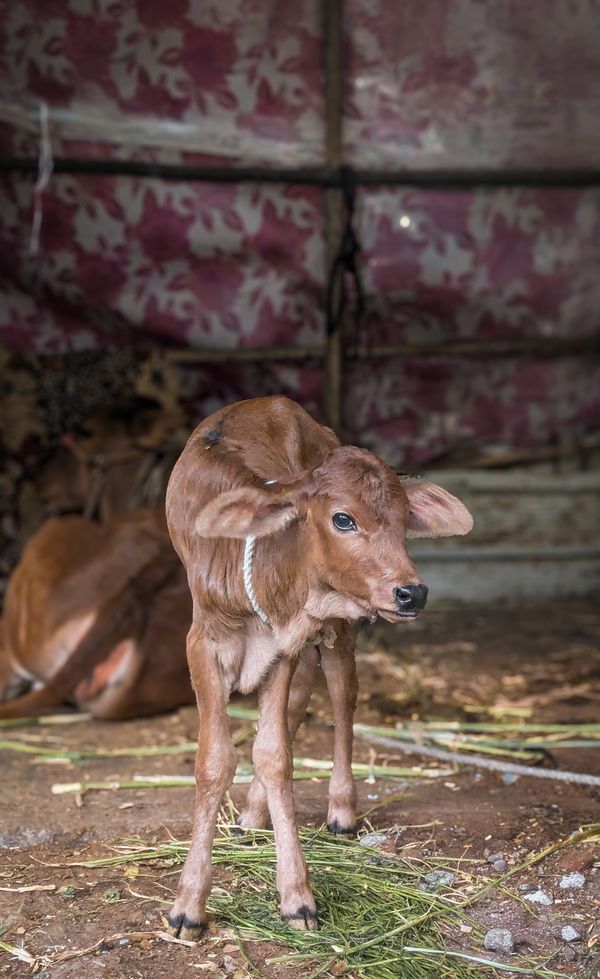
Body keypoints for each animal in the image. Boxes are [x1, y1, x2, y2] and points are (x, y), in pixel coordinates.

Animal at [165, 395, 473, 940]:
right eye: (343, 519)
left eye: (404, 520)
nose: (412, 593)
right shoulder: (204, 644)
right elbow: (216, 759)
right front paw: (188, 905)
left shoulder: (283, 642)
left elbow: (274, 755)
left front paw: (296, 897)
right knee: (299, 703)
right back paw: (251, 814)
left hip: (340, 625)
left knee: (340, 695)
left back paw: (340, 810)